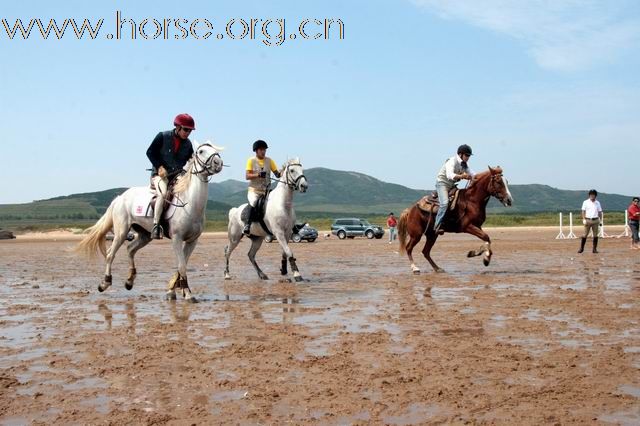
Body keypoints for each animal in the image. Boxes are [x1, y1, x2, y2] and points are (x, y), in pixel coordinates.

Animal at [75, 141, 224, 302]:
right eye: (201, 151)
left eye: (214, 149)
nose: (218, 163)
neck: (190, 203)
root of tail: (120, 197)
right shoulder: (177, 239)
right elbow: (182, 266)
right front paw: (188, 294)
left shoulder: (192, 241)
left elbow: (181, 264)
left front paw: (173, 291)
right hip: (121, 232)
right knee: (110, 254)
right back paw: (104, 283)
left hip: (145, 235)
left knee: (130, 249)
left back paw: (129, 281)